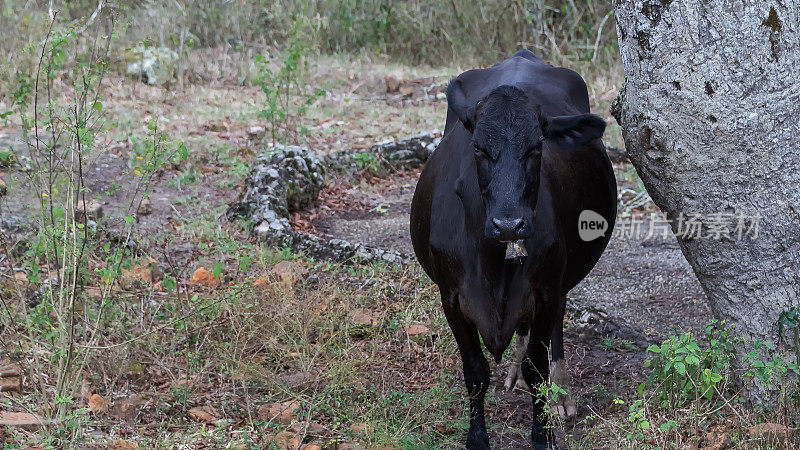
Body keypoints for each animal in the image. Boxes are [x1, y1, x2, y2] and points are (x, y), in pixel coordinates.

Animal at [410, 47, 616, 448]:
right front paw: (477, 439)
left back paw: (561, 394)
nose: (509, 224)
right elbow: (475, 370)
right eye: (478, 147)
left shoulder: (546, 289)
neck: (493, 263)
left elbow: (537, 368)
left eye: (537, 146)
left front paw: (543, 435)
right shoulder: (451, 296)